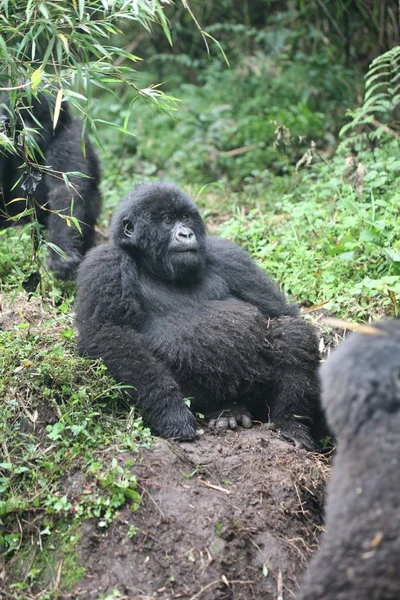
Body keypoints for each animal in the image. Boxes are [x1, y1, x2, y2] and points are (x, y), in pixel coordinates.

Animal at [0, 91, 100, 282]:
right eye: (21, 116)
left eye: (39, 117)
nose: (28, 133)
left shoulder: (70, 137)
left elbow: (66, 192)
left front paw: (61, 256)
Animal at [75, 183, 324, 450]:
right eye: (168, 220)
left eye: (185, 217)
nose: (186, 234)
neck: (151, 264)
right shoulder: (106, 263)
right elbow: (109, 334)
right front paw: (170, 411)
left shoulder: (230, 256)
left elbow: (280, 314)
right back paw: (225, 410)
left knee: (291, 333)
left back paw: (289, 423)